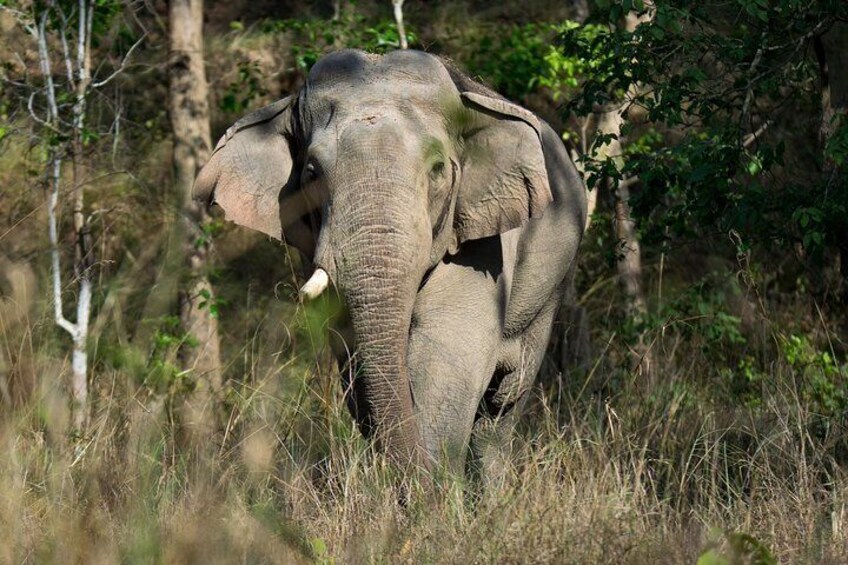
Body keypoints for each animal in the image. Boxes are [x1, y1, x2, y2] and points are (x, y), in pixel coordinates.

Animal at [195, 49, 588, 476]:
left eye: (437, 169)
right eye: (312, 173)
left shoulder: (481, 243)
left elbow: (446, 359)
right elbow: (355, 366)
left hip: (549, 291)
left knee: (502, 407)